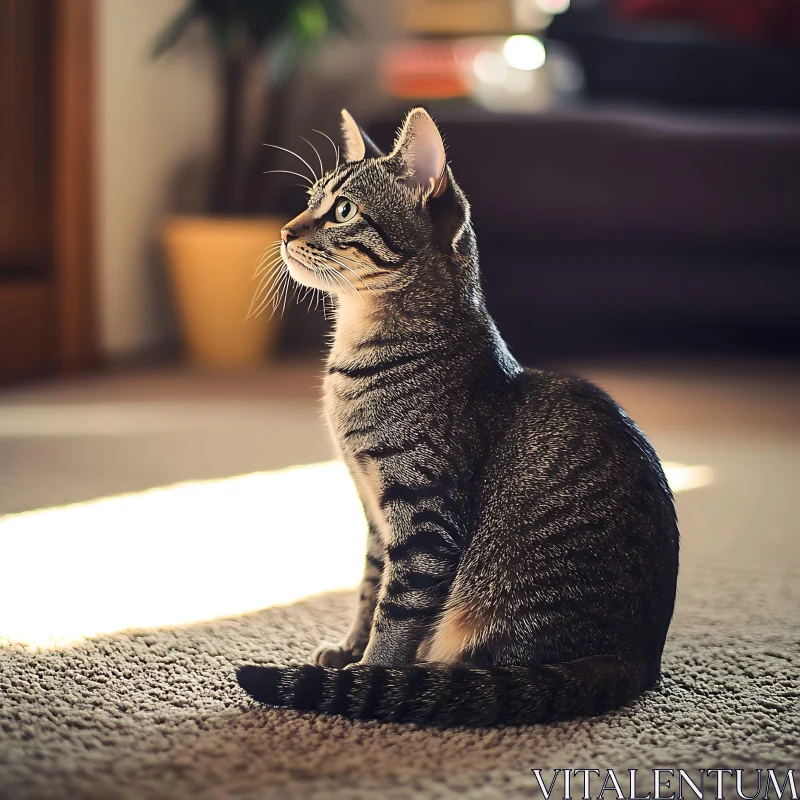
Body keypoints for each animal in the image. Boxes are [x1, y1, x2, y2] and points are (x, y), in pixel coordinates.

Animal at [234, 106, 680, 724]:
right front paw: (349, 650)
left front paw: (368, 672)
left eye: (342, 210)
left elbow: (397, 613)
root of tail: (637, 656)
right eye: (309, 199)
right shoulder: (375, 516)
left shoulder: (423, 517)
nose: (283, 231)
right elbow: (369, 589)